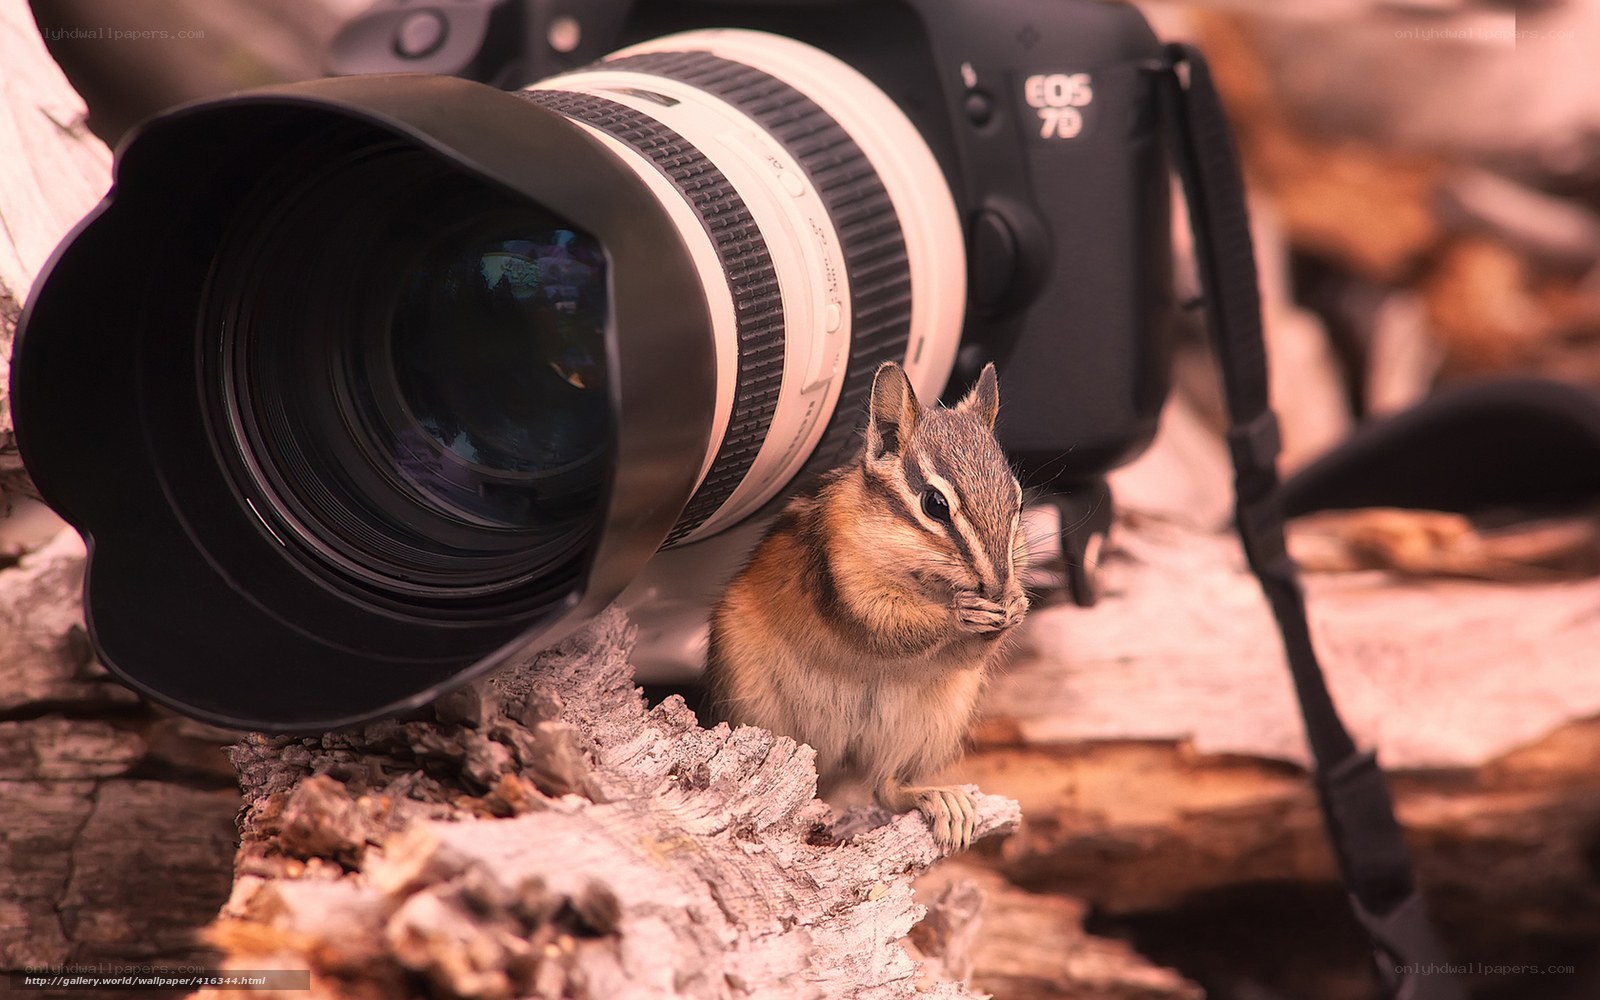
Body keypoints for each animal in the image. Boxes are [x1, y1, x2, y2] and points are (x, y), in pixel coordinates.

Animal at [704, 361, 1028, 850]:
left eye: (1017, 499)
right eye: (935, 504)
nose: (997, 585)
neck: (924, 580)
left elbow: (969, 654)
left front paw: (1016, 607)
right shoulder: (844, 578)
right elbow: (884, 628)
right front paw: (960, 614)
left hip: (930, 720)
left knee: (887, 787)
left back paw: (941, 799)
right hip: (757, 706)